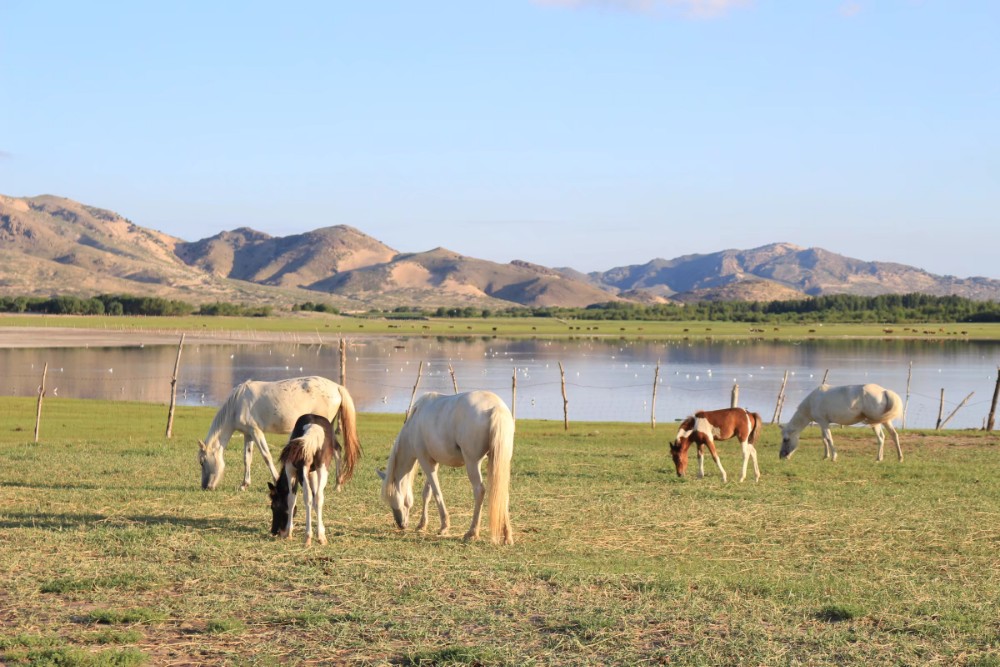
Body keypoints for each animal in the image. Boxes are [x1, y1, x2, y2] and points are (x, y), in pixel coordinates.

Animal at [197, 378, 362, 494]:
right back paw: (337, 484)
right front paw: (244, 484)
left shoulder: (256, 431)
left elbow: (266, 456)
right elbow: (247, 458)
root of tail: (337, 387)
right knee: (337, 450)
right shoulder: (248, 434)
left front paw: (277, 479)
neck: (238, 404)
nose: (205, 487)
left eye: (202, 462)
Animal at [780, 384, 908, 462]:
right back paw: (899, 458)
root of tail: (884, 391)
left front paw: (833, 457)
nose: (781, 456)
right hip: (884, 421)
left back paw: (878, 459)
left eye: (786, 439)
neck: (812, 402)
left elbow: (828, 438)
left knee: (881, 438)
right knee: (893, 435)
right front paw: (825, 456)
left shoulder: (824, 422)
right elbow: (824, 439)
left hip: (876, 423)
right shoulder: (822, 423)